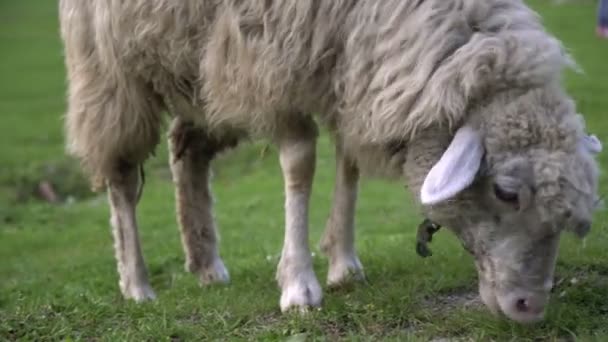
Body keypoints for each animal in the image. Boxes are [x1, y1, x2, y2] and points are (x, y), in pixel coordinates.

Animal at [59, 0, 600, 324]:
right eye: (506, 192)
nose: (529, 307)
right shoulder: (273, 64)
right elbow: (301, 166)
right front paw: (299, 285)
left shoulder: (348, 67)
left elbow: (350, 166)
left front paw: (343, 264)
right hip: (109, 67)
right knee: (121, 177)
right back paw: (137, 284)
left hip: (200, 67)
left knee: (186, 150)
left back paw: (207, 264)